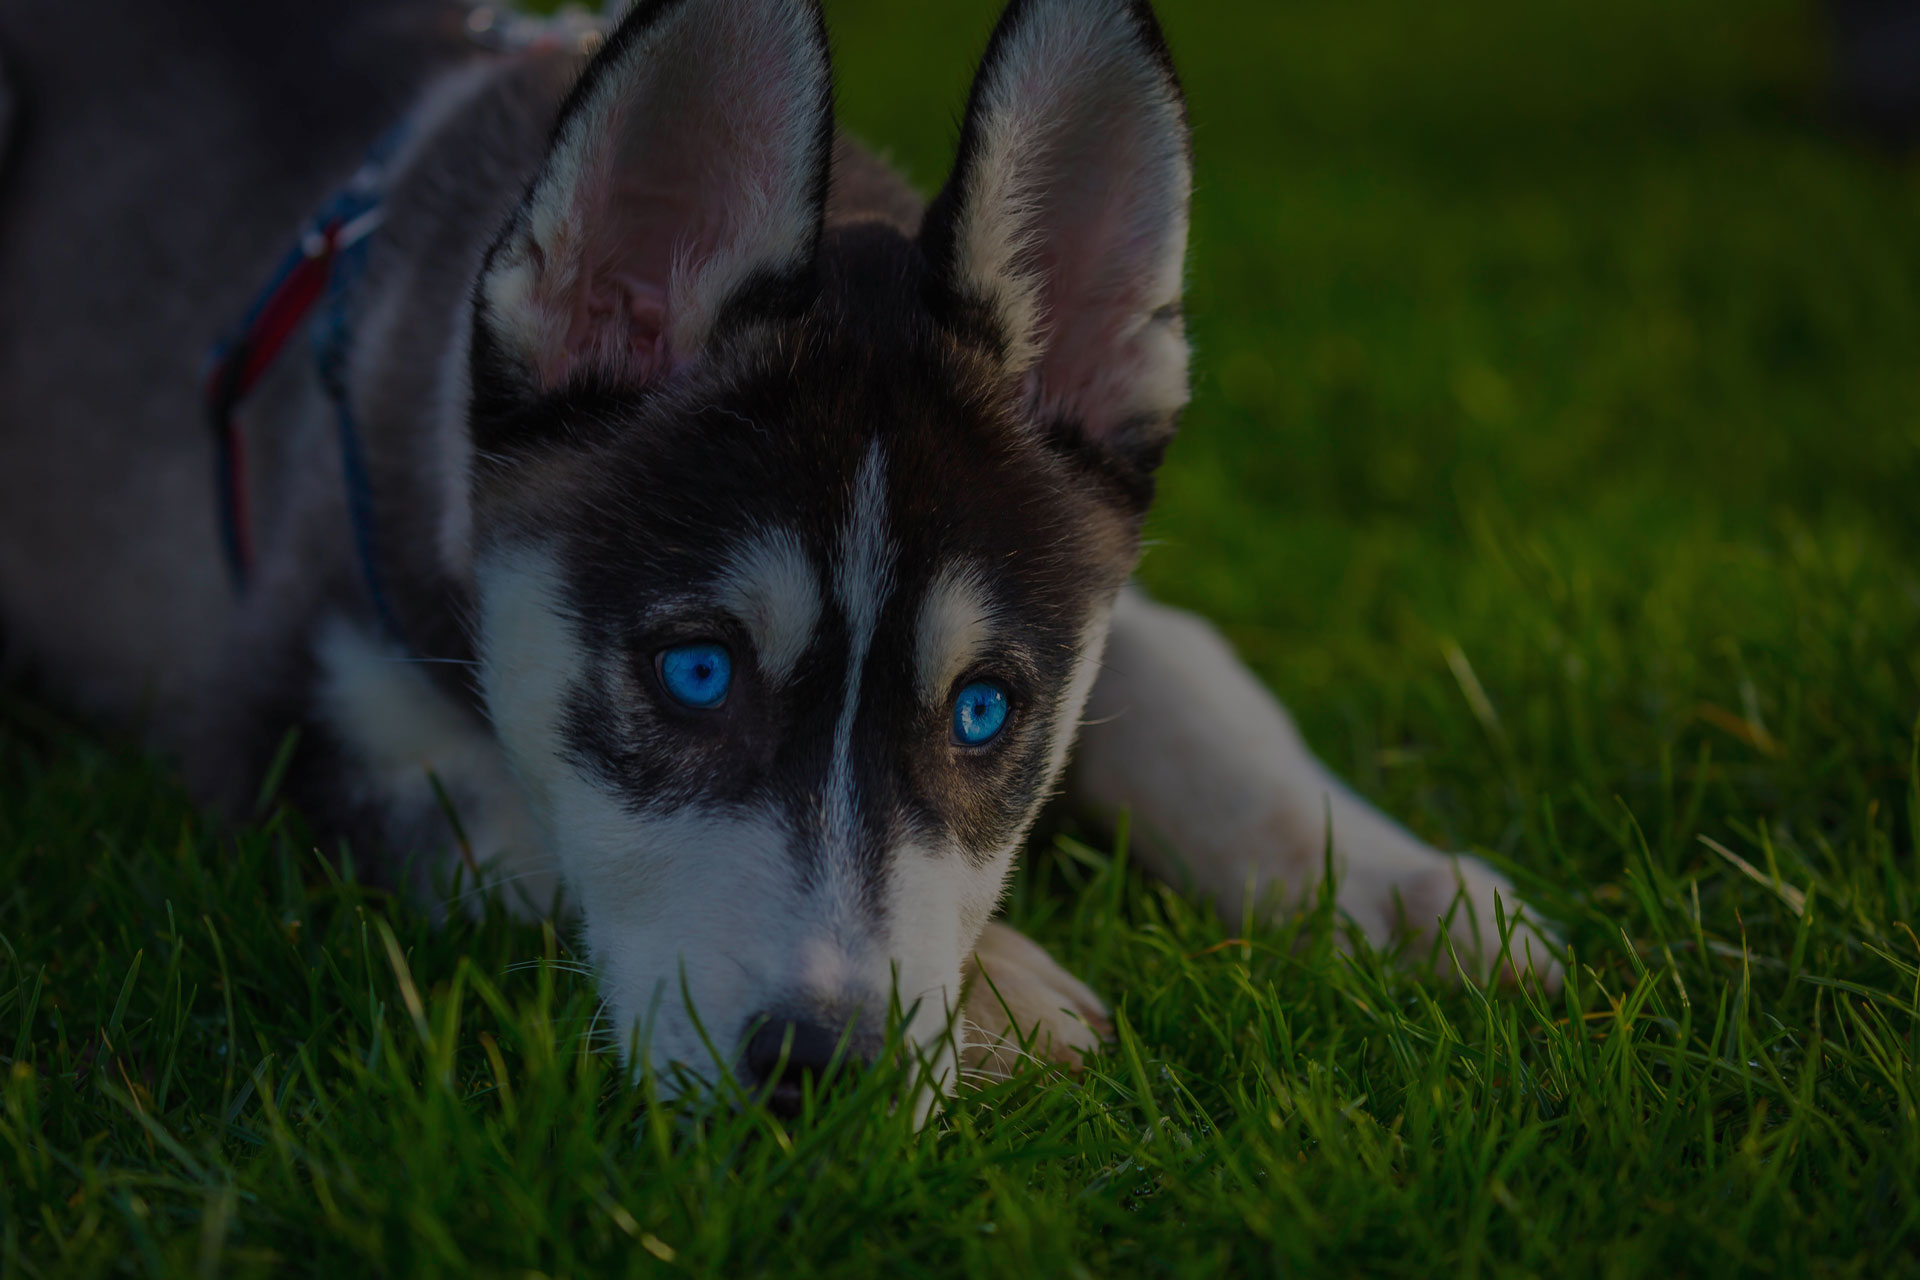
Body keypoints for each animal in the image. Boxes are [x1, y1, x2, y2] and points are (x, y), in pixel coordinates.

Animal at [0, 0, 1559, 1113]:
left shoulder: (1108, 610)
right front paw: (1000, 991)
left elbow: (1192, 684)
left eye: (984, 709)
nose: (825, 1068)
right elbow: (513, 809)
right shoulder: (285, 703)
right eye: (696, 672)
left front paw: (1394, 892)